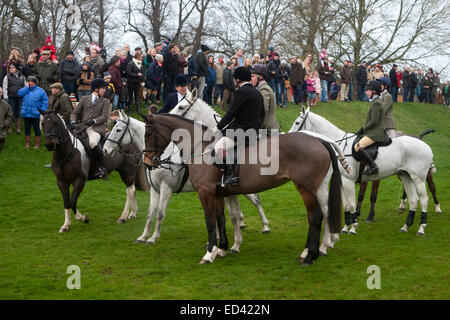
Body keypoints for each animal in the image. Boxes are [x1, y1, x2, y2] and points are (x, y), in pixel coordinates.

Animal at [103, 110, 268, 252]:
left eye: (118, 130)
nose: (104, 149)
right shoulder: (155, 190)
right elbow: (150, 214)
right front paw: (143, 236)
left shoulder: (166, 188)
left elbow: (160, 214)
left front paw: (153, 238)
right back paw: (239, 226)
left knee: (256, 200)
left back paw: (264, 226)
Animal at [141, 114, 342, 266]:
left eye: (149, 133)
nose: (148, 163)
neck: (201, 147)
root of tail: (319, 140)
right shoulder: (218, 193)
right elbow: (221, 219)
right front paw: (221, 248)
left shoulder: (205, 192)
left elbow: (210, 221)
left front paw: (209, 254)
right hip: (315, 188)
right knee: (320, 214)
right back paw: (310, 251)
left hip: (306, 188)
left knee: (316, 216)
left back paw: (311, 255)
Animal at [290, 107, 434, 235]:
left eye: (297, 122)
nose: (288, 135)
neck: (339, 147)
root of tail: (426, 145)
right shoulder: (342, 181)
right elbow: (346, 205)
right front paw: (345, 227)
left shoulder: (348, 181)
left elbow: (352, 204)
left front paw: (353, 228)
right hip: (405, 176)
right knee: (413, 200)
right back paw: (405, 227)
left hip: (418, 178)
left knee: (424, 199)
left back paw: (421, 228)